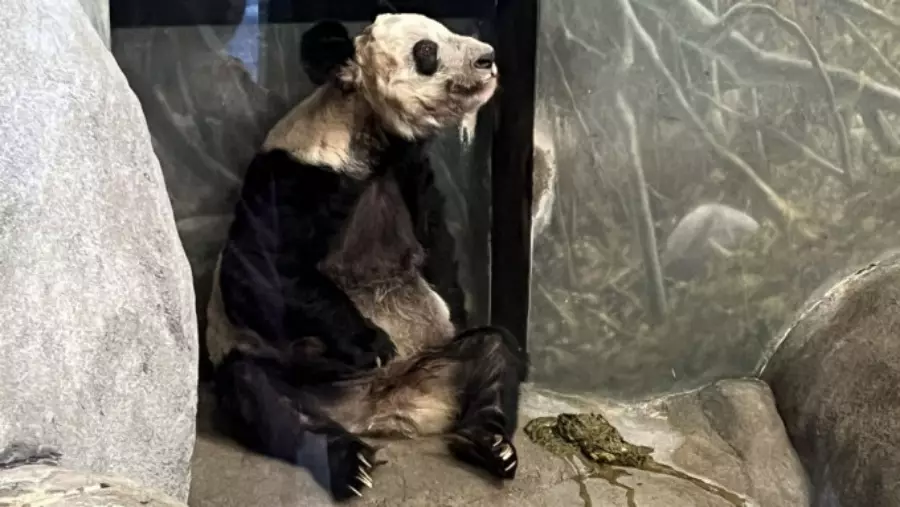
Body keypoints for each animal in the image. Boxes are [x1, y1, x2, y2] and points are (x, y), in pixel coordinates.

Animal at [205, 13, 528, 502]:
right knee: (262, 395)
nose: (487, 58)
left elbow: (439, 250)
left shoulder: (411, 172)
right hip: (304, 374)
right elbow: (257, 271)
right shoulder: (297, 174)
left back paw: (489, 444)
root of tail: (378, 411)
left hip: (432, 366)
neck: (369, 131)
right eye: (427, 51)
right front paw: (373, 343)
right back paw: (348, 462)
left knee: (495, 351)